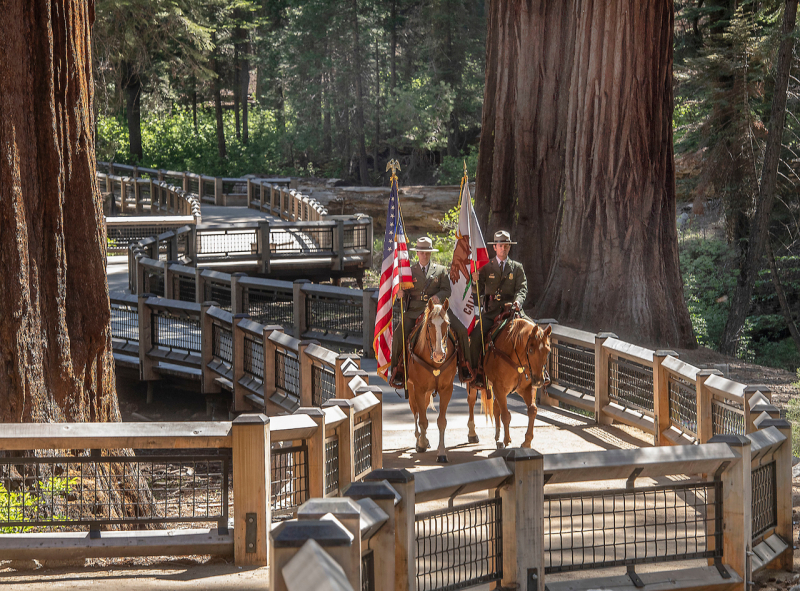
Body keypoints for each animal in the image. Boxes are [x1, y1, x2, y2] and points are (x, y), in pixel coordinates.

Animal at [410, 300, 460, 462]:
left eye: (447, 324)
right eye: (430, 325)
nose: (439, 355)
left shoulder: (446, 389)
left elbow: (441, 421)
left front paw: (442, 453)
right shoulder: (418, 389)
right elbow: (423, 420)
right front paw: (421, 443)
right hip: (412, 388)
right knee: (415, 412)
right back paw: (419, 439)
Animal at [466, 320, 552, 448]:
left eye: (548, 351)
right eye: (531, 350)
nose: (539, 380)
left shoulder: (527, 387)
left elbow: (532, 410)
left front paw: (527, 441)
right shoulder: (499, 387)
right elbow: (506, 415)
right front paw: (507, 440)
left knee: (496, 406)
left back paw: (497, 437)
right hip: (473, 382)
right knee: (471, 401)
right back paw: (472, 433)